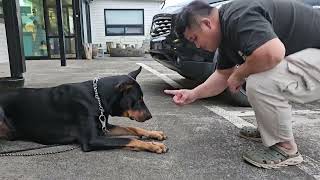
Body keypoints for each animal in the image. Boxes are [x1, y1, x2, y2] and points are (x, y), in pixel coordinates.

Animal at [0, 67, 169, 154]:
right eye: (139, 99)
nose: (150, 116)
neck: (97, 98)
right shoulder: (92, 140)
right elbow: (128, 139)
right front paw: (154, 145)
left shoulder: (103, 127)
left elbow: (131, 128)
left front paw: (154, 134)